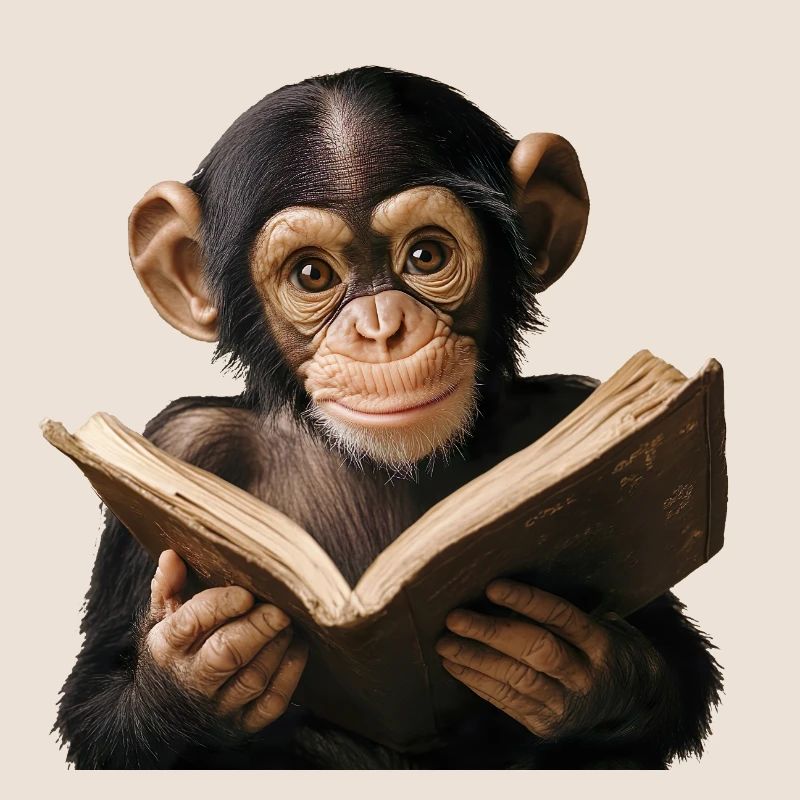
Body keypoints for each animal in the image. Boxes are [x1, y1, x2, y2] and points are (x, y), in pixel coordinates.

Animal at [55, 67, 722, 769]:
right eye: (312, 273)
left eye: (426, 256)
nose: (381, 328)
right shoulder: (182, 446)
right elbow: (97, 704)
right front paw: (197, 667)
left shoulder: (570, 413)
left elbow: (669, 655)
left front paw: (571, 662)